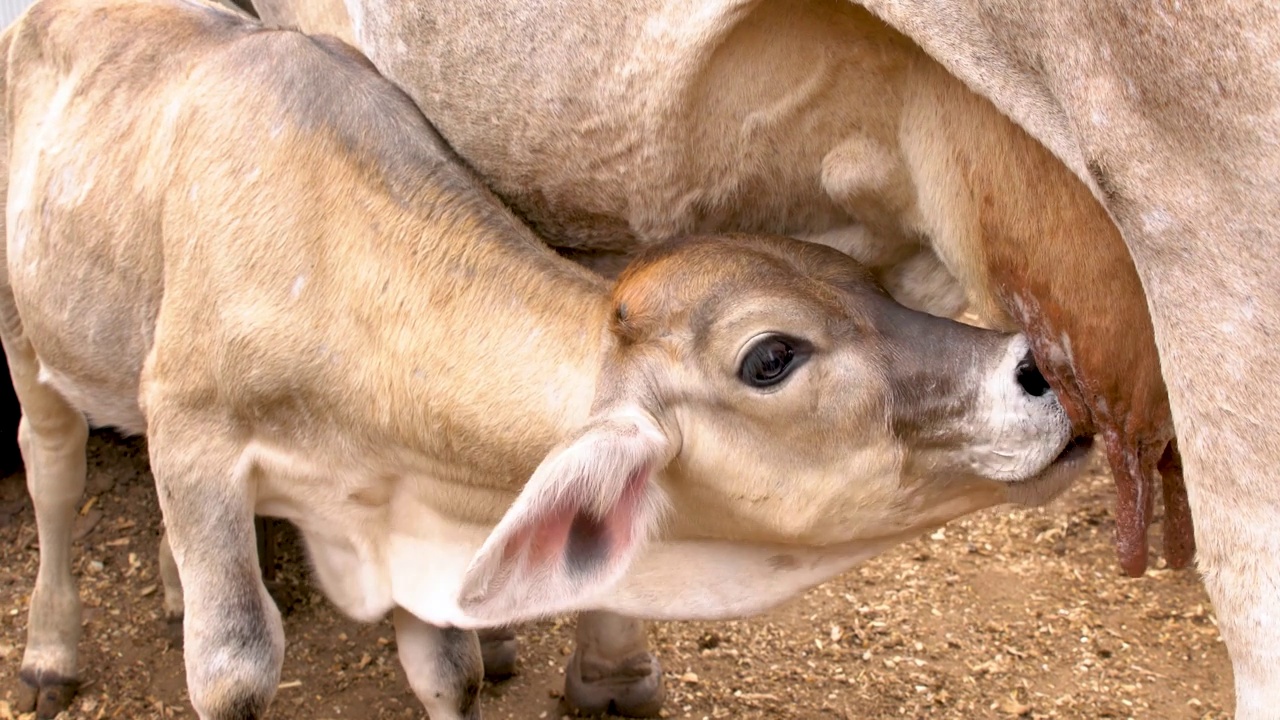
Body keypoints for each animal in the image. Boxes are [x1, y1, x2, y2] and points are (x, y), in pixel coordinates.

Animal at [5, 2, 1095, 712]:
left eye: (865, 284)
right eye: (770, 357)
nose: (1036, 368)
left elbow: (444, 673)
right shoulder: (195, 433)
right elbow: (232, 669)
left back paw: (170, 582)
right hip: (28, 340)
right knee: (54, 469)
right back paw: (52, 653)